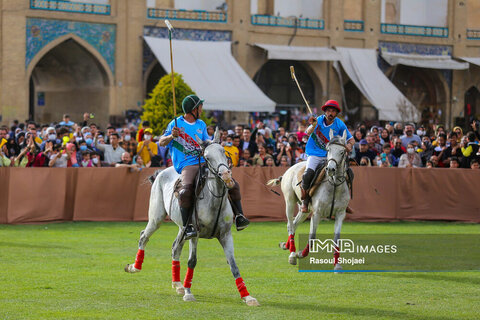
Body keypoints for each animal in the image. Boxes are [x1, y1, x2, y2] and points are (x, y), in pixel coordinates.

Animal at [124, 129, 258, 306]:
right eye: (207, 157)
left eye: (223, 152)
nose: (226, 176)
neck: (214, 200)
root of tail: (161, 172)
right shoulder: (196, 233)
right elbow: (192, 261)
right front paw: (188, 293)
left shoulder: (225, 235)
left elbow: (233, 264)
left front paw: (247, 297)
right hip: (157, 218)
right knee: (144, 236)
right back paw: (134, 267)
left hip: (183, 228)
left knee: (175, 247)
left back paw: (177, 284)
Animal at [266, 129, 348, 268]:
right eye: (328, 149)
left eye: (342, 151)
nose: (330, 169)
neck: (334, 185)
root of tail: (290, 168)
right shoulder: (317, 213)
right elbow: (312, 237)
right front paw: (300, 254)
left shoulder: (340, 214)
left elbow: (337, 239)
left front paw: (337, 265)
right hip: (290, 201)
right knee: (290, 224)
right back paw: (292, 254)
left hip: (305, 209)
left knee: (293, 223)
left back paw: (286, 246)